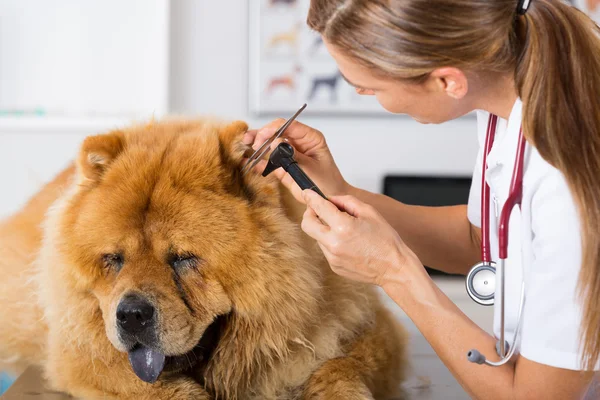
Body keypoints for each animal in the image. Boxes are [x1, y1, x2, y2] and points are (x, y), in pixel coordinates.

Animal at [0, 118, 408, 396]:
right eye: (114, 259)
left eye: (183, 258)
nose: (131, 314)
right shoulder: (80, 351)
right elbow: (147, 383)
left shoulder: (364, 325)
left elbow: (341, 366)